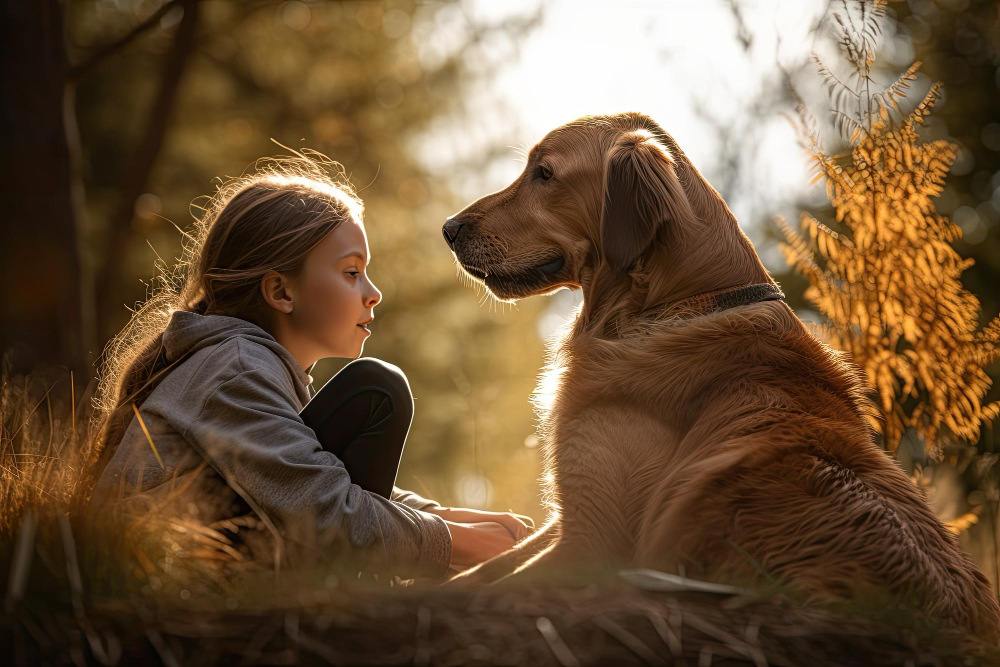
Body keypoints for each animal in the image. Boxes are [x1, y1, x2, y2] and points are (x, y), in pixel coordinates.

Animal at [444, 112, 1000, 640]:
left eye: (544, 174)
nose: (448, 229)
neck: (675, 304)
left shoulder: (591, 542)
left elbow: (476, 588)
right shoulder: (566, 517)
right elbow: (472, 573)